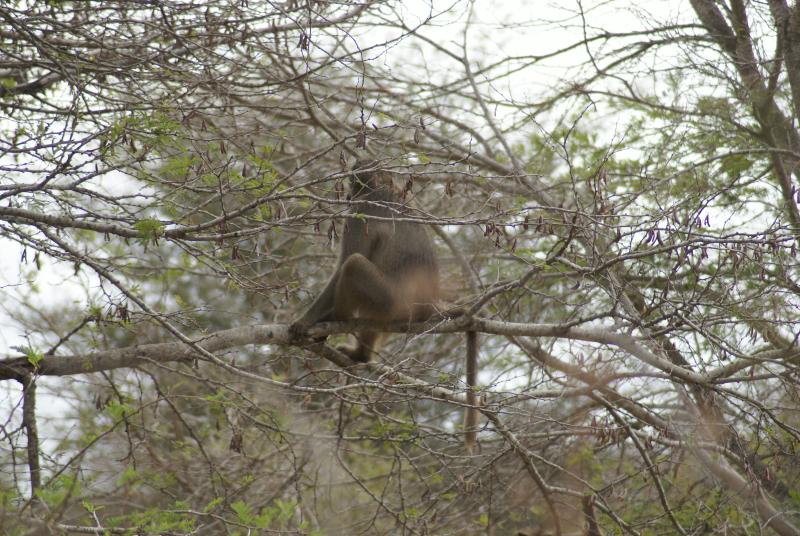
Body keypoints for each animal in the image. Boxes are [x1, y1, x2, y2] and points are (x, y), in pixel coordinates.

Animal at [289, 159, 480, 452]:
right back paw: (360, 355)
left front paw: (306, 321)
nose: (348, 194)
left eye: (355, 182)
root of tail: (426, 305)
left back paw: (335, 320)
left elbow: (343, 263)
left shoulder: (361, 212)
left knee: (353, 264)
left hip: (388, 300)